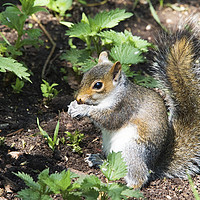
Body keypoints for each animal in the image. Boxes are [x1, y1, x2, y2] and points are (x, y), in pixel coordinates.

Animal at [67, 21, 200, 189]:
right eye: (84, 76)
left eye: (98, 85)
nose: (78, 98)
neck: (114, 93)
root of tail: (152, 166)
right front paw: (73, 106)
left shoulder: (125, 106)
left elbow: (109, 119)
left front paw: (82, 109)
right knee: (114, 166)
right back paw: (99, 161)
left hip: (132, 150)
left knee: (139, 177)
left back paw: (126, 187)